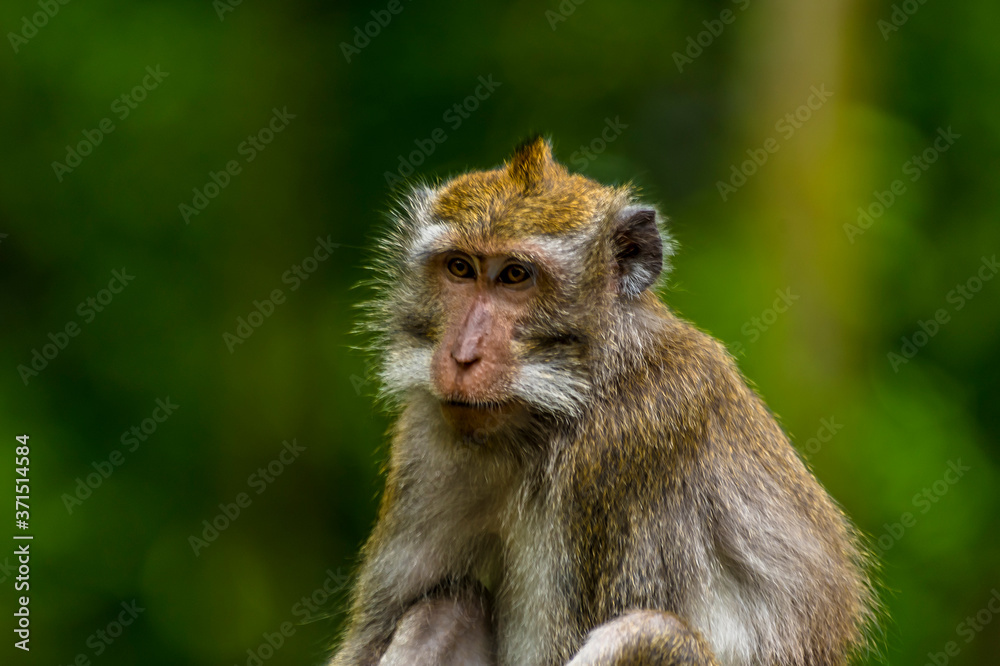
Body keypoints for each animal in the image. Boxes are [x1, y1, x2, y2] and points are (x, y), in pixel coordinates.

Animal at [330, 136, 876, 664]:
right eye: (460, 268)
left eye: (515, 276)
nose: (462, 355)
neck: (563, 404)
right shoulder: (427, 440)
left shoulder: (626, 446)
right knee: (446, 607)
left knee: (650, 635)